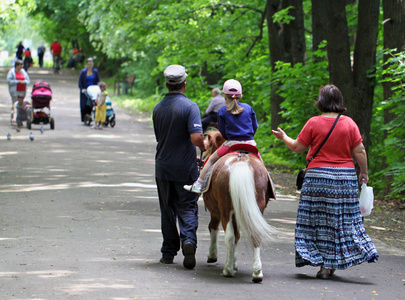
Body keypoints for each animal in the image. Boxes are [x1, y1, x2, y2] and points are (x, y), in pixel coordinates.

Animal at [201, 130, 276, 282]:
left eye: (207, 148)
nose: (201, 158)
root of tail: (241, 162)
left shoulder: (215, 211)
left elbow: (214, 228)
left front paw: (214, 256)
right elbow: (238, 235)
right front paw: (234, 263)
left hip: (225, 209)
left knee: (229, 236)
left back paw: (228, 270)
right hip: (256, 208)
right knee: (255, 233)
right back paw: (257, 273)